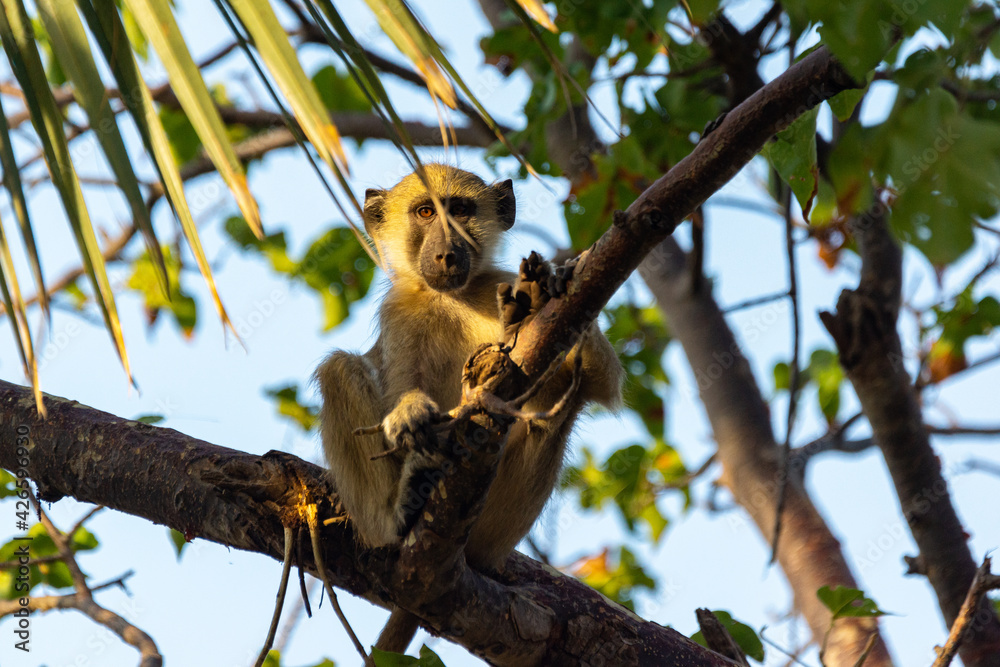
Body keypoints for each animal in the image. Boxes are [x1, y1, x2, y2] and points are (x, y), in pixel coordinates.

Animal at [314, 164, 623, 654]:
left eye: (460, 210)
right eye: (425, 212)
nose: (446, 253)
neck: (451, 295)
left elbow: (602, 383)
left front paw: (545, 290)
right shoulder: (401, 312)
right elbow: (398, 396)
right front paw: (410, 414)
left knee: (562, 403)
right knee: (339, 369)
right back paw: (396, 514)